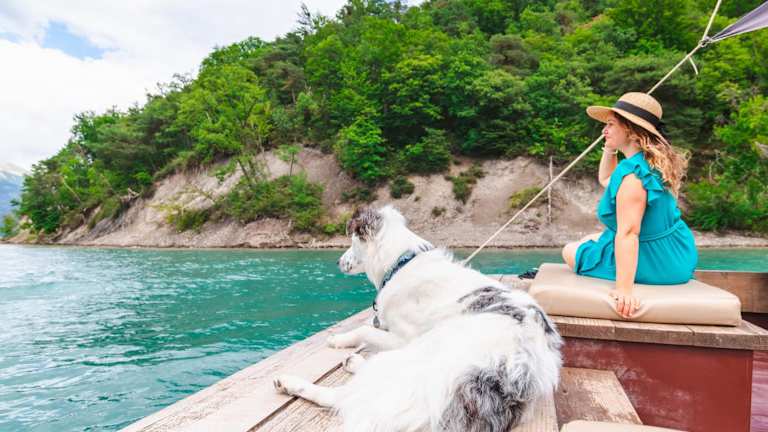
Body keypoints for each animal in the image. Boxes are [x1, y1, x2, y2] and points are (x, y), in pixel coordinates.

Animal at [274, 206, 562, 431]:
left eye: (352, 242)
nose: (337, 262)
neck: (401, 264)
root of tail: (515, 378)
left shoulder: (404, 338)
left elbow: (365, 331)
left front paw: (339, 339)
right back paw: (354, 363)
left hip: (415, 356)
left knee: (343, 396)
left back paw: (290, 383)